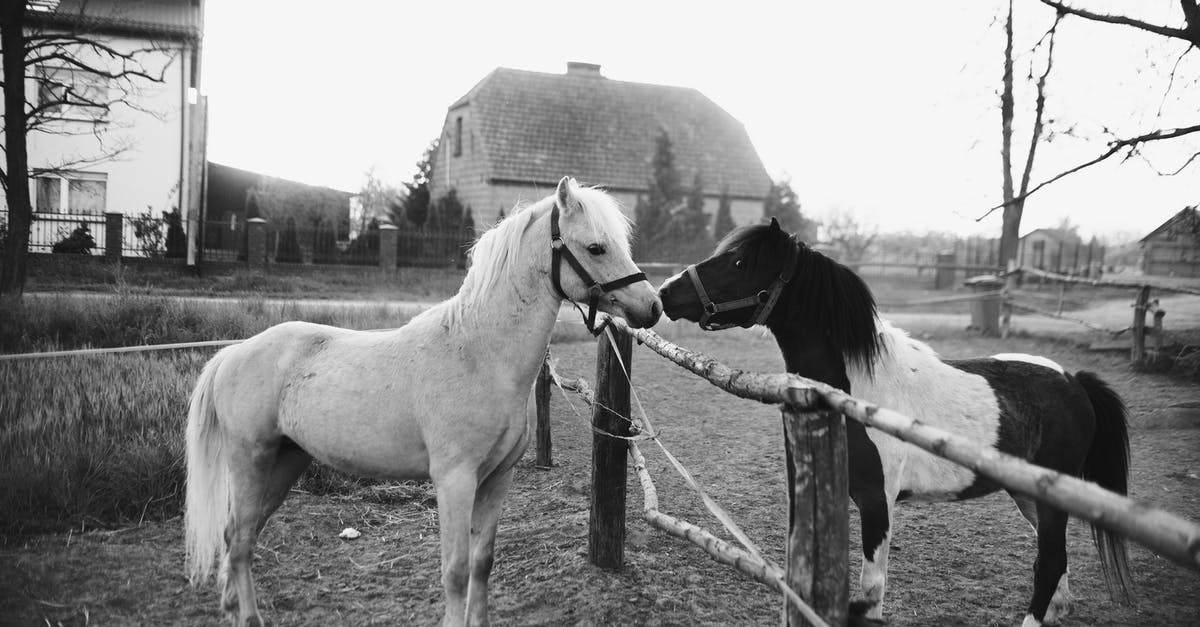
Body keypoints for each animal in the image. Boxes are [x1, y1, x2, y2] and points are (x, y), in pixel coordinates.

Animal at [182, 176, 662, 624]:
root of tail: (232, 353)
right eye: (596, 247)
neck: (478, 354)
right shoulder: (454, 480)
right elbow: (455, 571)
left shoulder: (497, 479)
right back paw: (248, 616)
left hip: (286, 461)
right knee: (240, 539)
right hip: (251, 461)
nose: (653, 307)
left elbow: (482, 564)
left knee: (239, 536)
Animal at [657, 218, 1132, 624]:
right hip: (1030, 496)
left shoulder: (877, 502)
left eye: (739, 263)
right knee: (1055, 558)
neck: (859, 391)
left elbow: (872, 593)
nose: (665, 292)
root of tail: (1074, 380)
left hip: (1047, 501)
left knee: (1049, 562)